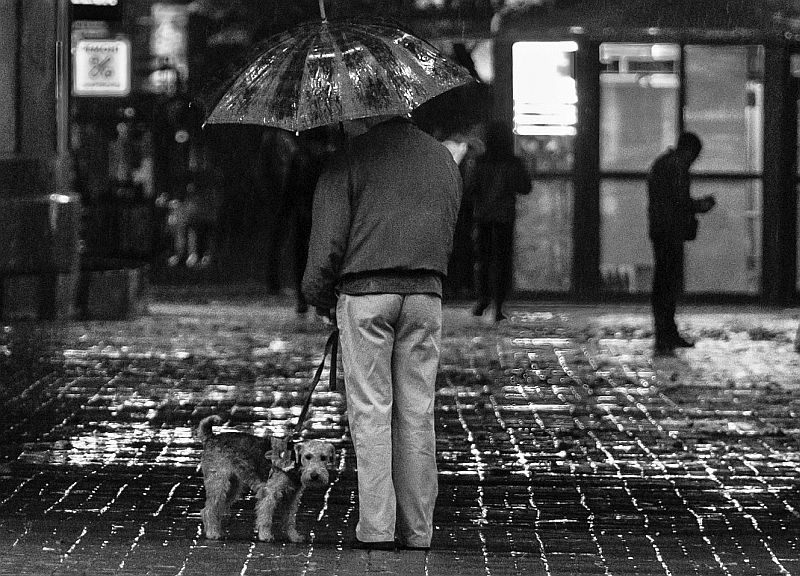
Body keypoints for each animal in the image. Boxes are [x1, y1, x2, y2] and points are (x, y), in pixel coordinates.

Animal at [197, 416, 334, 544]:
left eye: (323, 457)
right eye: (308, 456)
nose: (315, 476)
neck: (294, 462)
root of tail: (211, 438)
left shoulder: (292, 497)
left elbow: (289, 519)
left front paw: (294, 537)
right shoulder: (270, 493)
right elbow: (266, 517)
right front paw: (265, 535)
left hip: (232, 486)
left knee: (216, 509)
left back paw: (216, 531)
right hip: (218, 483)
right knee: (208, 510)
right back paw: (212, 533)